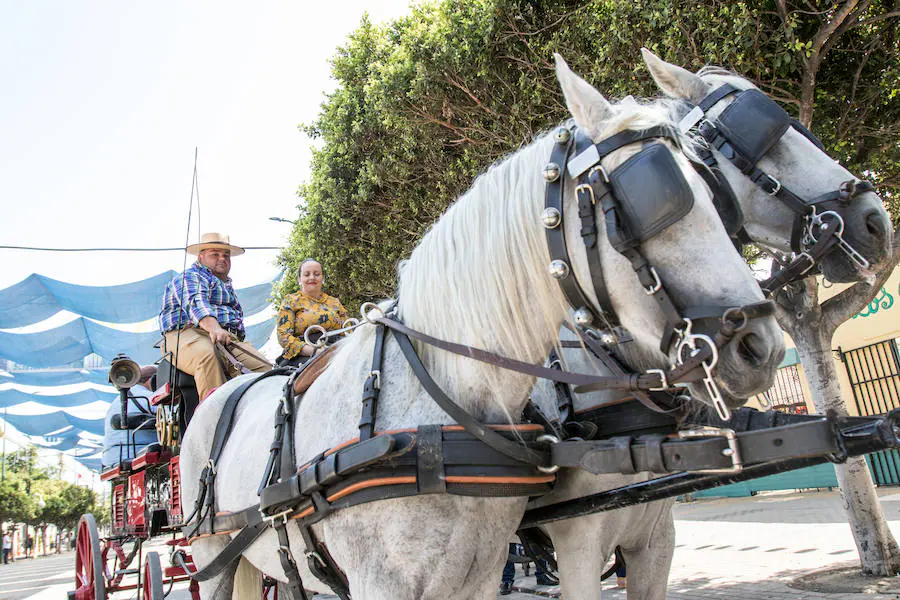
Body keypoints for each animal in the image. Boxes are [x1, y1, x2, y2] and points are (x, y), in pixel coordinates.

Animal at [179, 57, 784, 600]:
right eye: (649, 198)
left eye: (713, 190)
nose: (760, 345)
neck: (444, 409)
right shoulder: (570, 542)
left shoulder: (612, 546)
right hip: (213, 554)